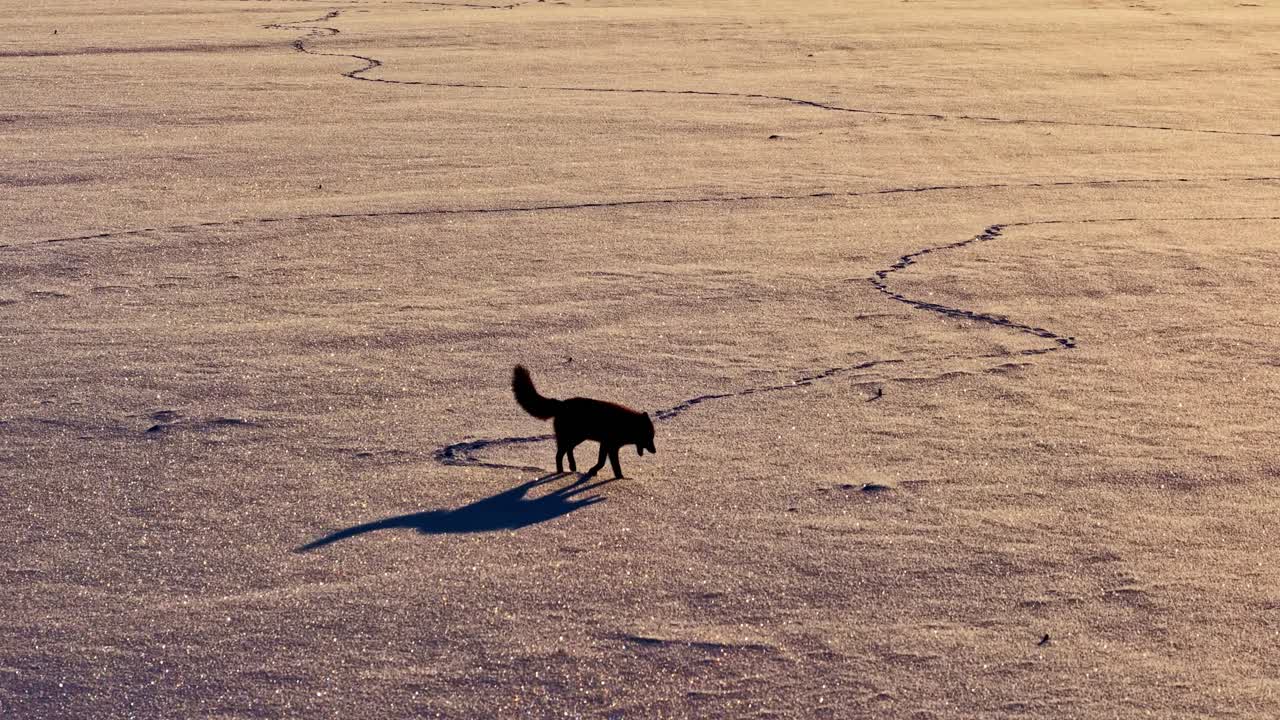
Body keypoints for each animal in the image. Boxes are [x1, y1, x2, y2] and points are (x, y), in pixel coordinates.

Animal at [512, 364, 656, 479]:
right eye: (649, 436)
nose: (655, 451)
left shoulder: (606, 445)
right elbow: (608, 463)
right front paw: (619, 478)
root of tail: (561, 403)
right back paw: (561, 472)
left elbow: (603, 462)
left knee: (567, 451)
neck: (626, 424)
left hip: (578, 438)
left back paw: (572, 467)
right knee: (559, 455)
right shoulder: (610, 446)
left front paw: (597, 472)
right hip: (574, 437)